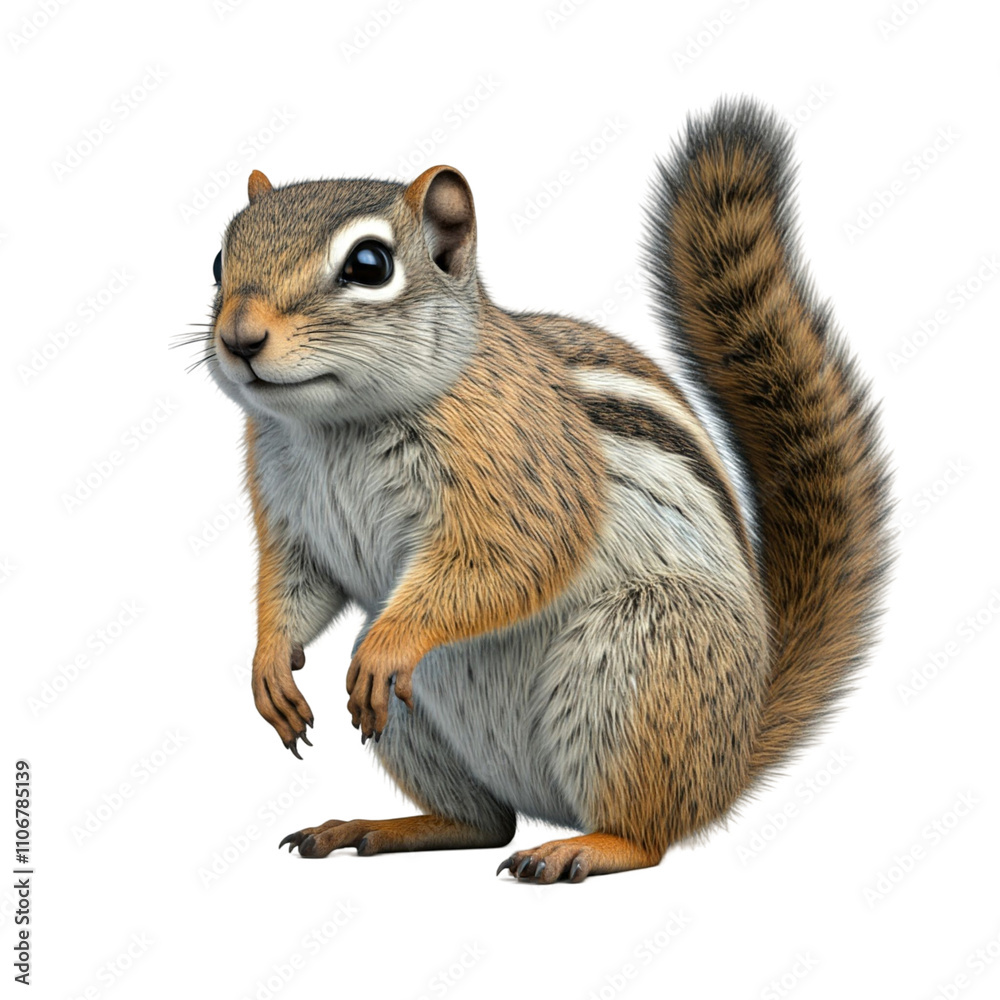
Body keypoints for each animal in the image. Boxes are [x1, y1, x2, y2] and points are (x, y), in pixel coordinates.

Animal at [201, 97, 892, 883]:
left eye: (369, 265)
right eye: (218, 261)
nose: (239, 338)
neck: (336, 425)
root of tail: (733, 753)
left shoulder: (525, 469)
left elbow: (512, 560)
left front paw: (388, 643)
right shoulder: (288, 512)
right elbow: (296, 584)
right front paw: (268, 665)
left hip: (641, 662)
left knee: (645, 836)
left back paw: (583, 846)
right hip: (419, 721)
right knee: (483, 823)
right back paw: (378, 826)